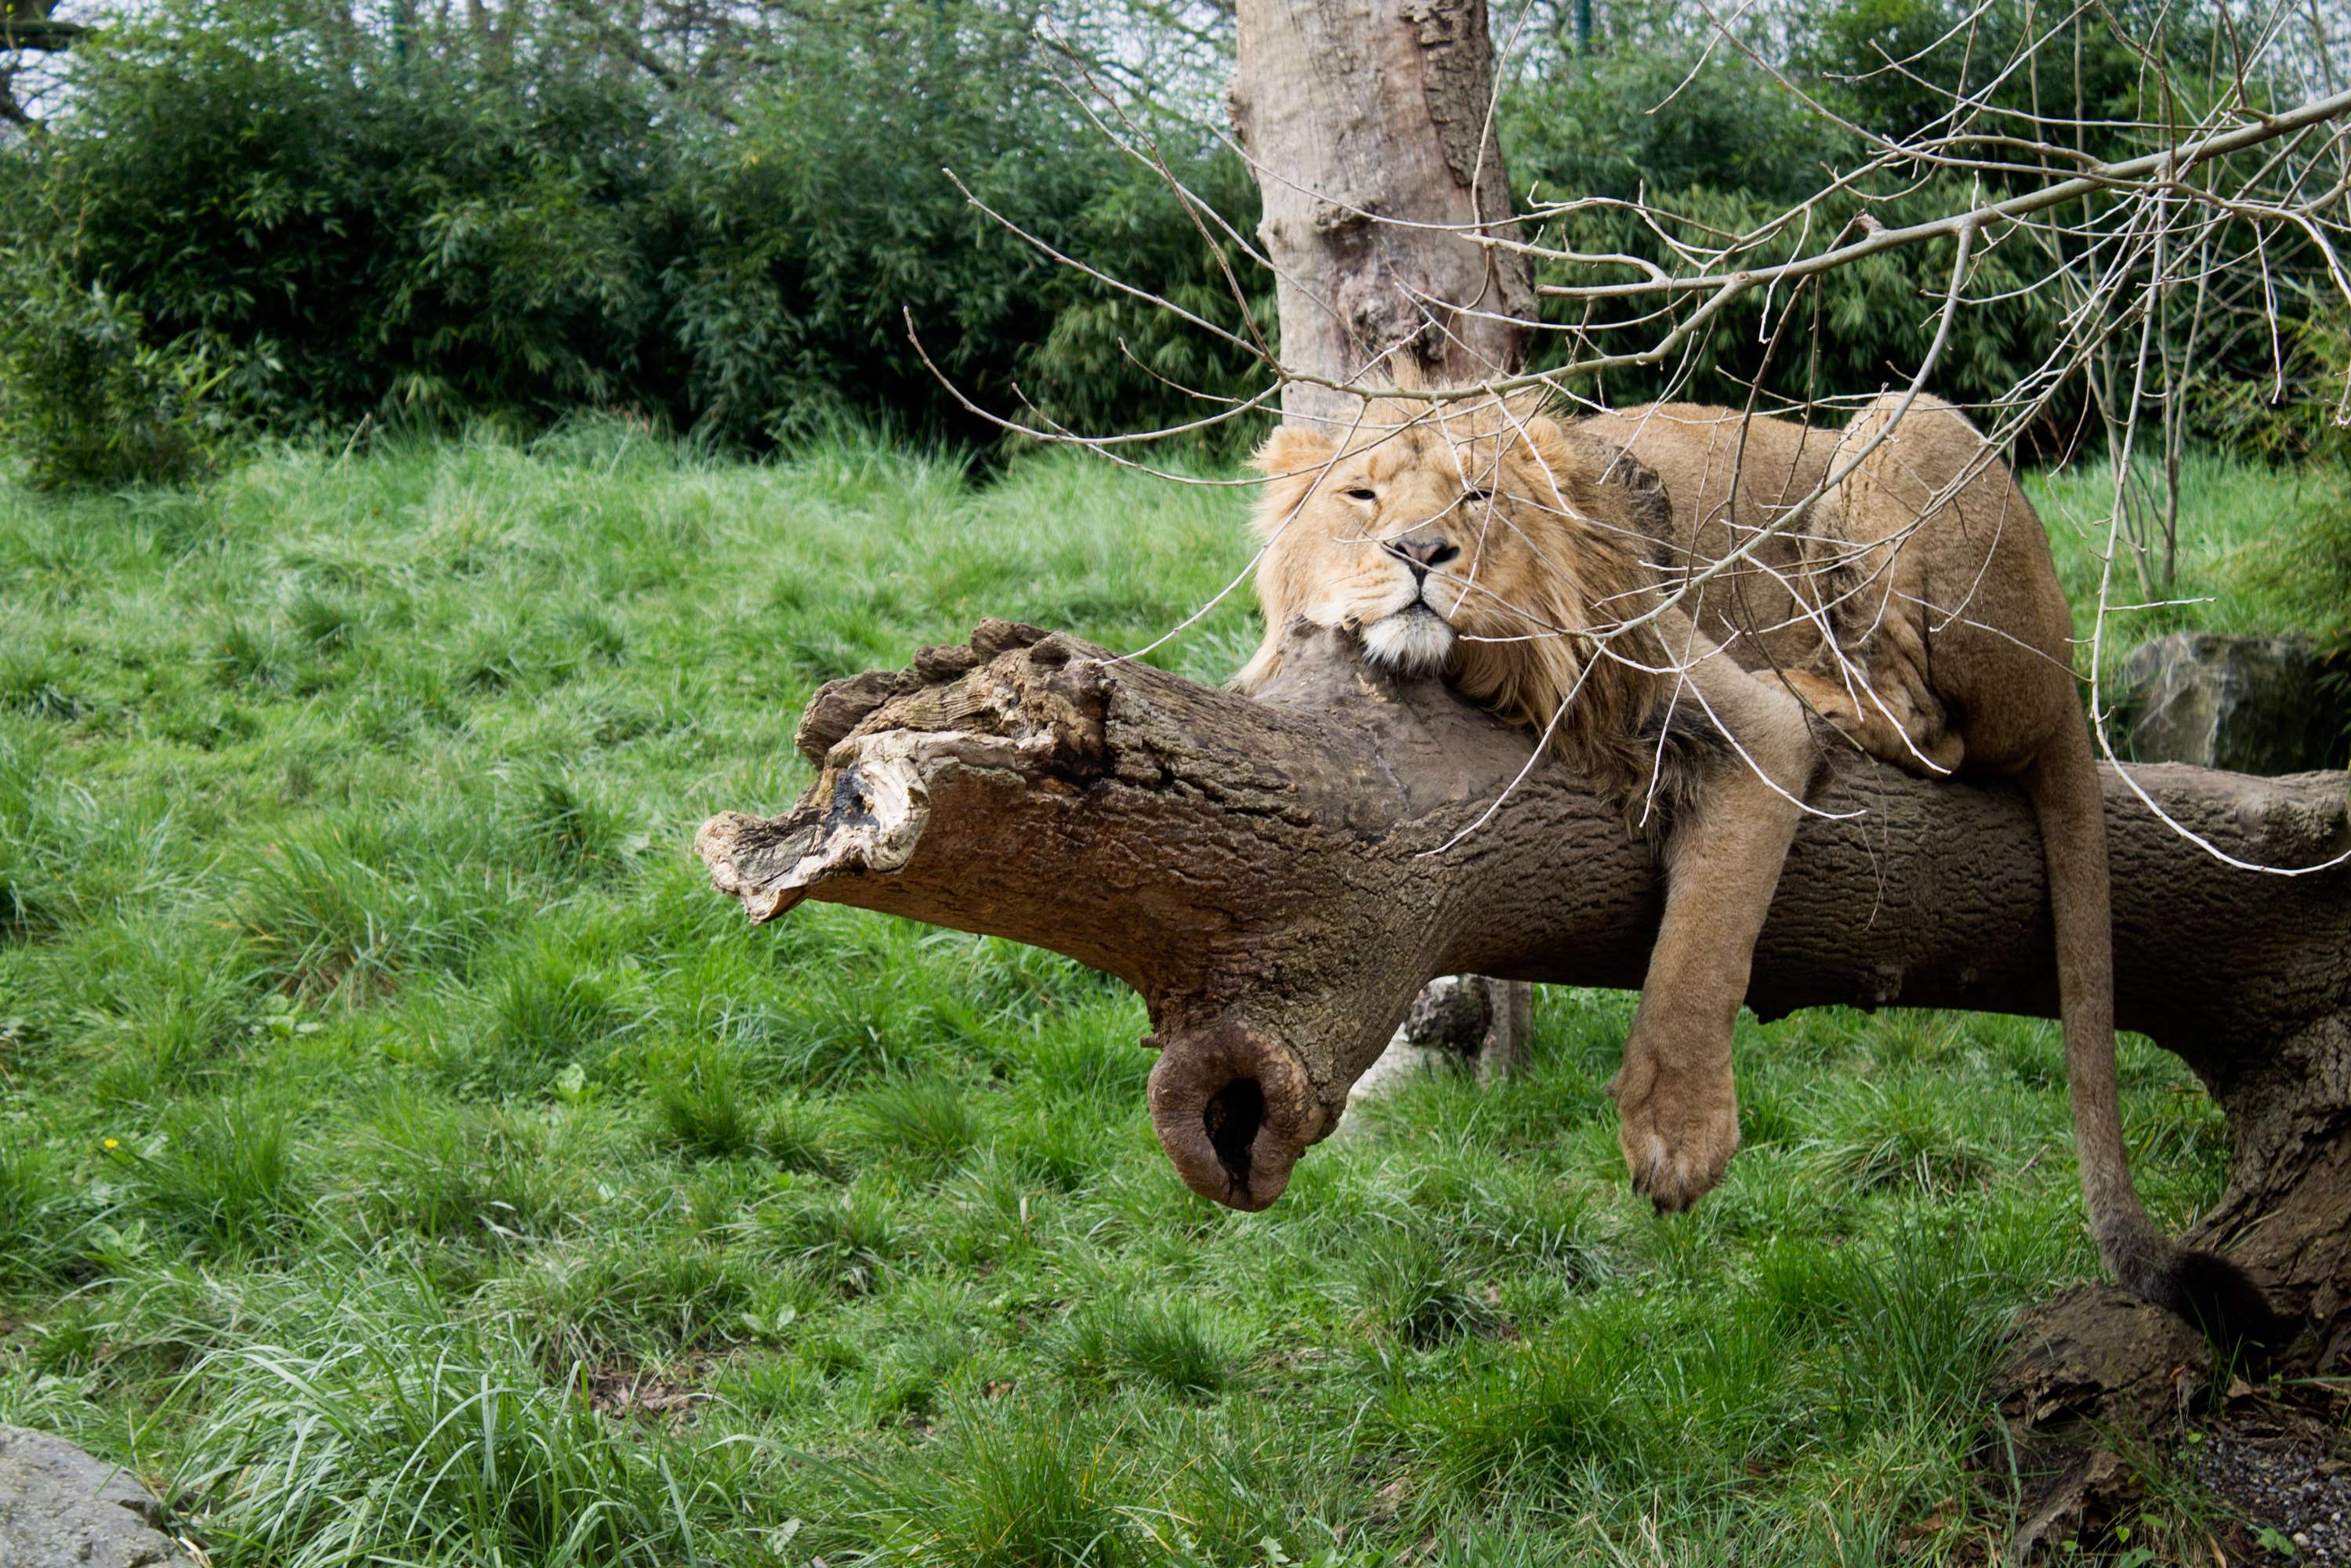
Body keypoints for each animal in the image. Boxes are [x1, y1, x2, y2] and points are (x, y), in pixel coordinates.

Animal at [1235, 387, 2273, 1338]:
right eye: (1362, 496)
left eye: (1479, 496)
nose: (1420, 554)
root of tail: (2064, 668)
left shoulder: (1737, 719)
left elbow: (1703, 944)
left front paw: (1679, 1133)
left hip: (1898, 428)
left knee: (1927, 729)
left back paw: (1819, 689)